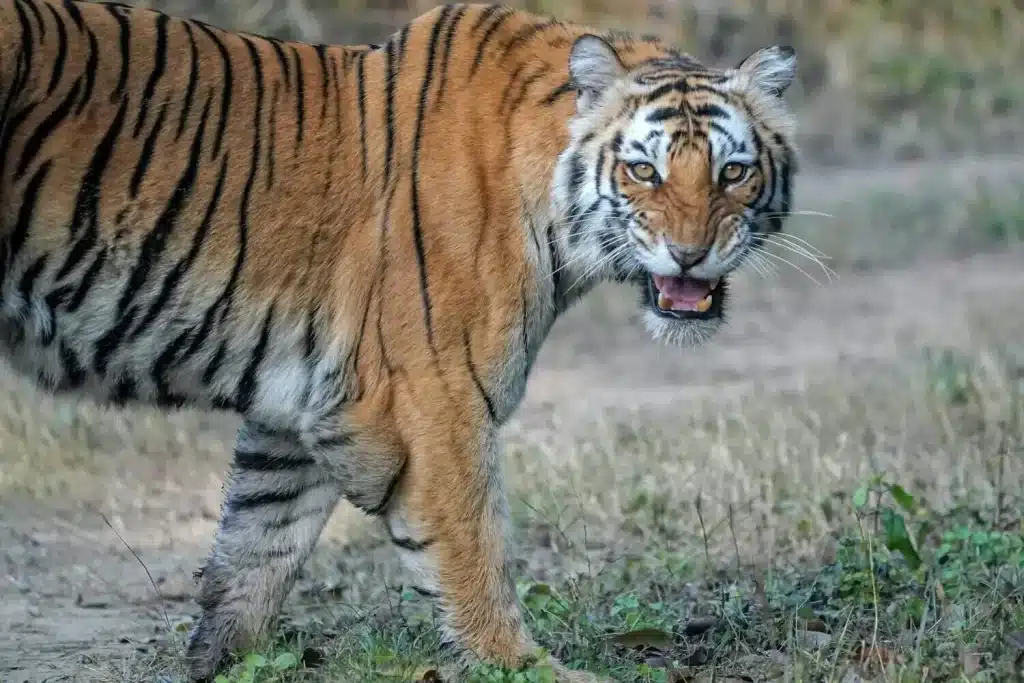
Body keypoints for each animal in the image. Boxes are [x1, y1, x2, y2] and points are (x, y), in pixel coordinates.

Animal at [0, 0, 798, 680]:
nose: (690, 255)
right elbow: (472, 547)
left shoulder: (309, 402)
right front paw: (525, 664)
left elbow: (258, 540)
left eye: (733, 171)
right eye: (643, 171)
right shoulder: (433, 395)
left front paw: (218, 662)